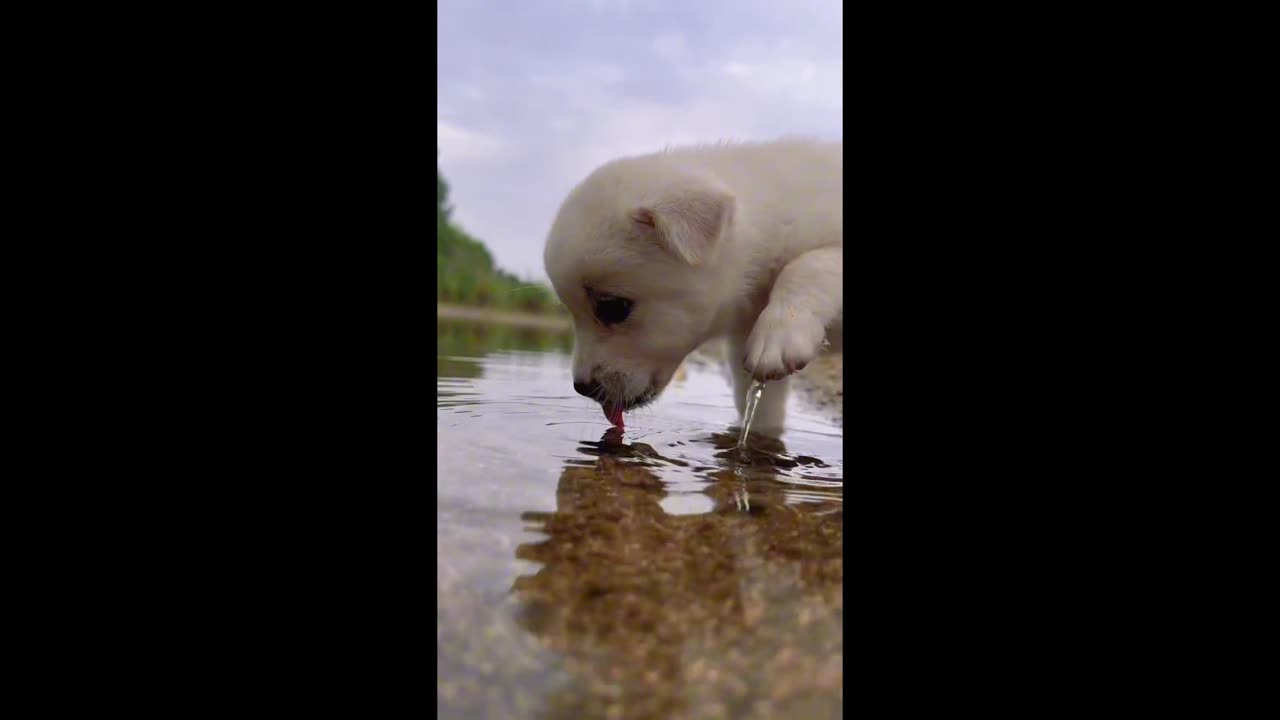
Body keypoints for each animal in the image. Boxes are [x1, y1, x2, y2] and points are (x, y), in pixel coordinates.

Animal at [545, 137, 844, 435]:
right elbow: (760, 410)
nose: (581, 388)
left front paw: (779, 336)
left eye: (613, 308)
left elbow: (808, 265)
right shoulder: (744, 339)